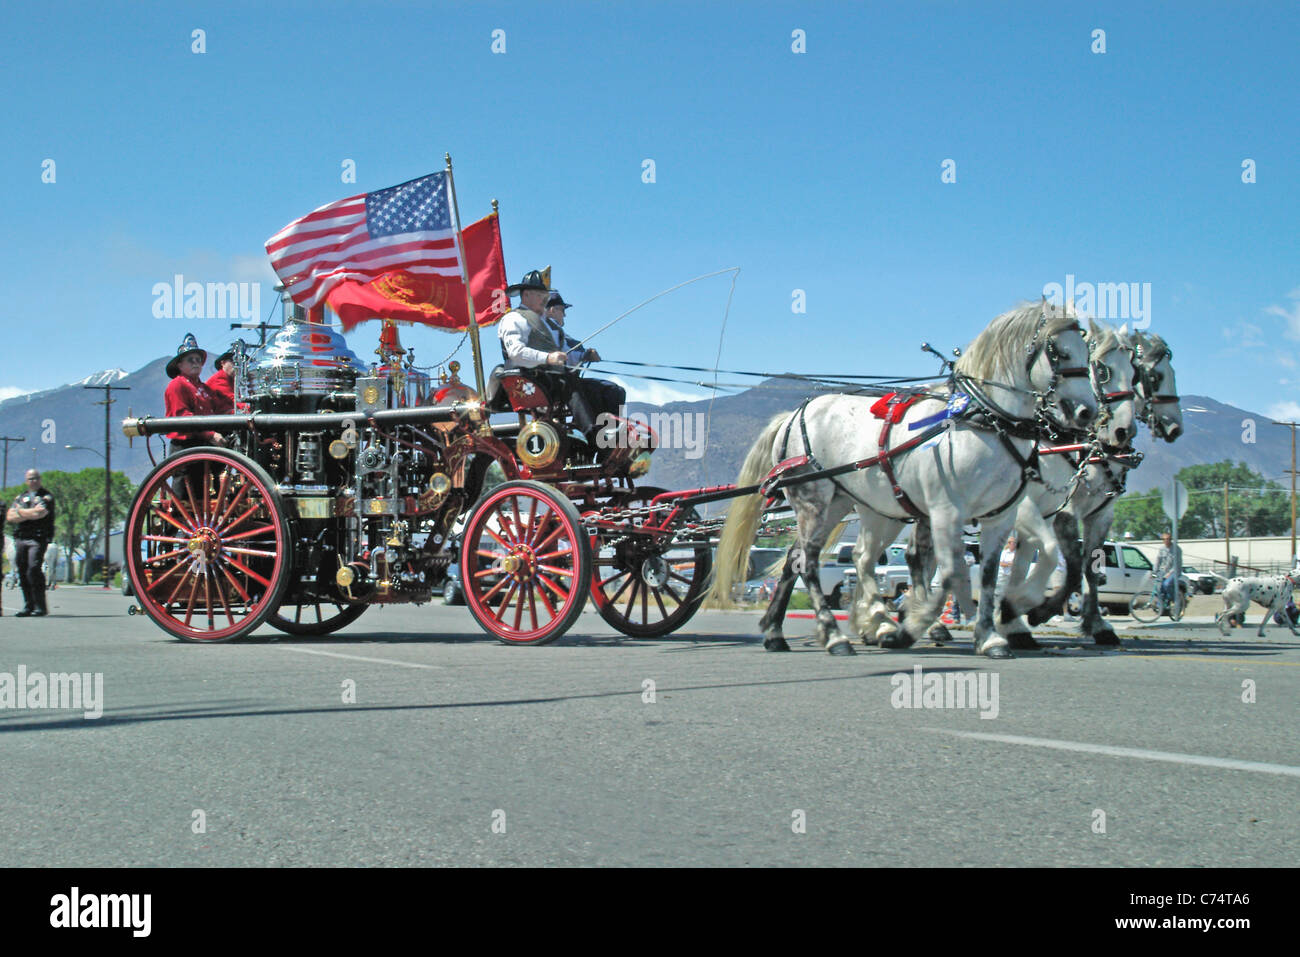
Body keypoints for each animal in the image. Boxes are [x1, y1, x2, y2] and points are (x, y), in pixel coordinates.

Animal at [712, 304, 1097, 657]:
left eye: (1088, 352)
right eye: (1058, 351)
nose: (1087, 412)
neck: (983, 422)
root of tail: (794, 415)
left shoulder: (1001, 516)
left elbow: (988, 574)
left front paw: (992, 633)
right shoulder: (945, 510)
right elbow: (949, 573)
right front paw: (913, 627)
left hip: (843, 503)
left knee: (810, 558)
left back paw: (779, 631)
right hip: (813, 499)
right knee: (810, 562)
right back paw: (837, 635)